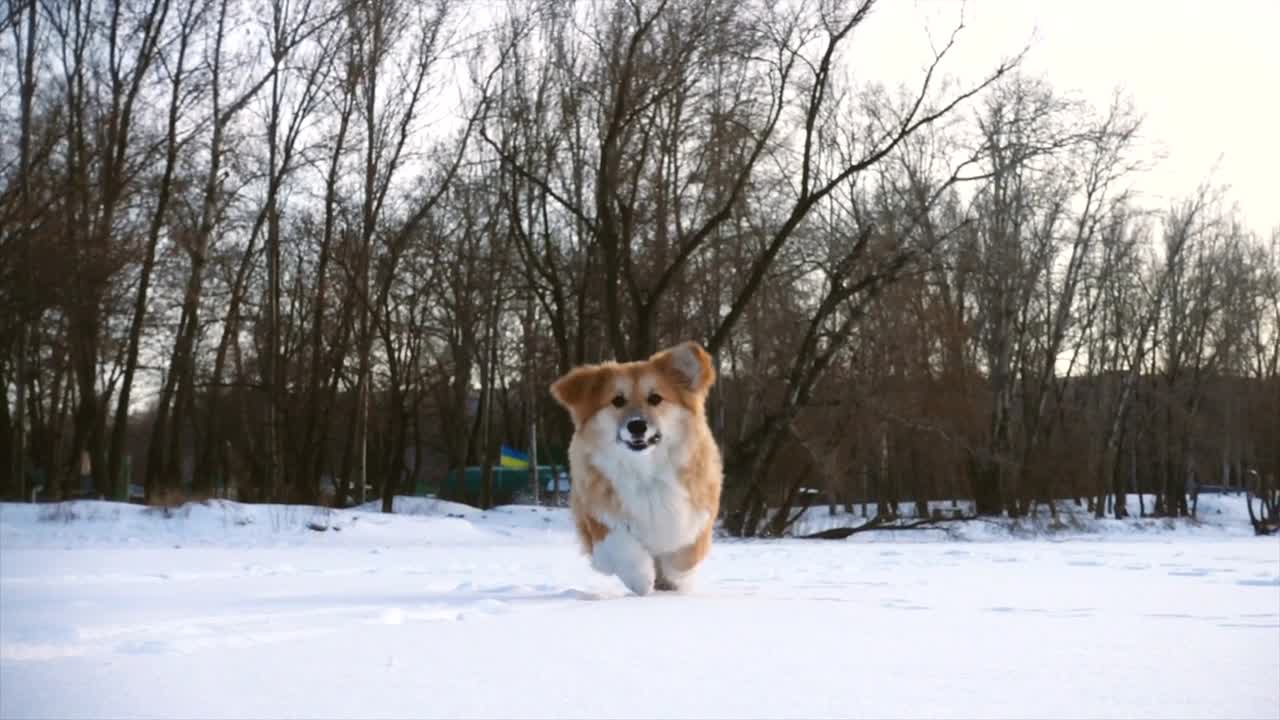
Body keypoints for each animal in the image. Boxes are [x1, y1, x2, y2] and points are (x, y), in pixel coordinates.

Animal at [547, 340, 721, 594]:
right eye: (618, 401)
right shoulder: (598, 512)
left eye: (655, 398)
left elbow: (687, 553)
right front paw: (640, 578)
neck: (644, 470)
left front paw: (676, 577)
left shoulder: (697, 513)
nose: (637, 425)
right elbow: (619, 545)